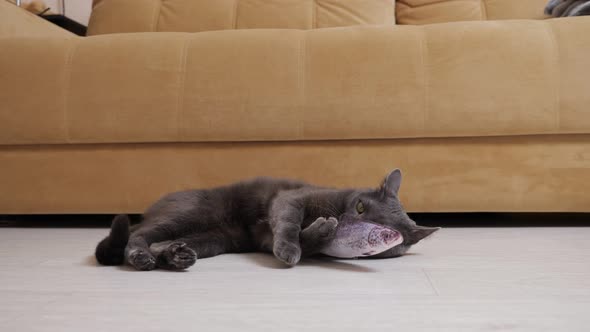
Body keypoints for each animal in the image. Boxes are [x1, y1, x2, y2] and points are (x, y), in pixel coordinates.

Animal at [96, 169, 440, 270]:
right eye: (358, 207)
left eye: (384, 231)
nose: (347, 222)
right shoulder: (291, 198)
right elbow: (288, 224)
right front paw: (293, 246)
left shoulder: (263, 238)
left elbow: (307, 242)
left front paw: (319, 232)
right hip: (191, 213)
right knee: (138, 236)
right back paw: (141, 256)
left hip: (214, 239)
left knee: (162, 244)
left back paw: (176, 256)